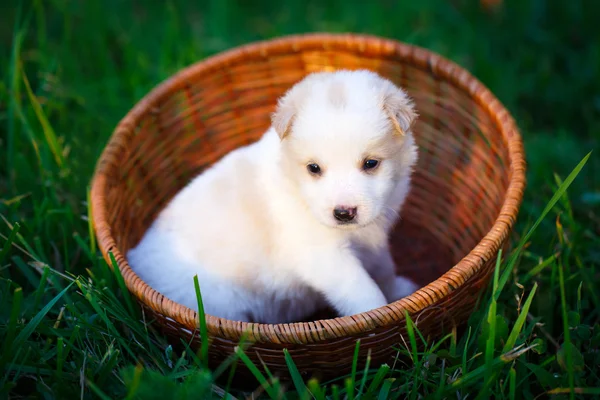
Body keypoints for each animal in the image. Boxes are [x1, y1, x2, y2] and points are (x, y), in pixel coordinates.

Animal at [127, 70, 418, 324]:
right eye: (314, 168)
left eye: (370, 163)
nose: (344, 213)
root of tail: (137, 260)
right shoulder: (325, 256)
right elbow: (362, 289)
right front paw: (377, 315)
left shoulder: (374, 241)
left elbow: (384, 269)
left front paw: (400, 290)